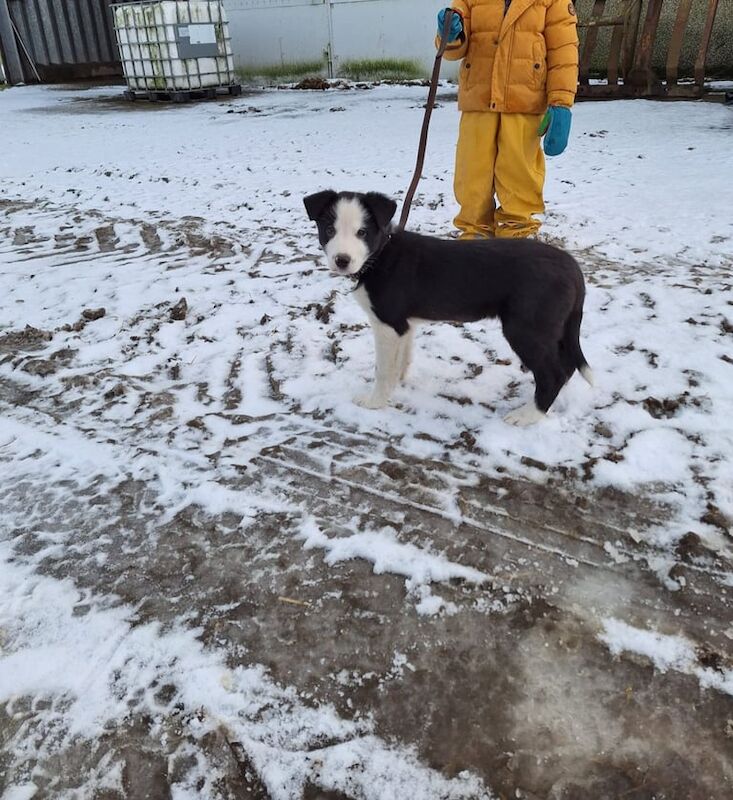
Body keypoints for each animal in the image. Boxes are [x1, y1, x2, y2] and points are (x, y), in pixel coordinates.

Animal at [304, 189, 596, 424]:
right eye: (329, 230)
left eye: (362, 232)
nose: (341, 260)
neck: (380, 255)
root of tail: (572, 267)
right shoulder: (403, 325)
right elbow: (401, 360)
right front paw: (398, 384)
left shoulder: (387, 325)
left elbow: (383, 369)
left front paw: (375, 402)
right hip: (554, 326)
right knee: (566, 366)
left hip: (526, 328)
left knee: (552, 373)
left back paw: (527, 416)